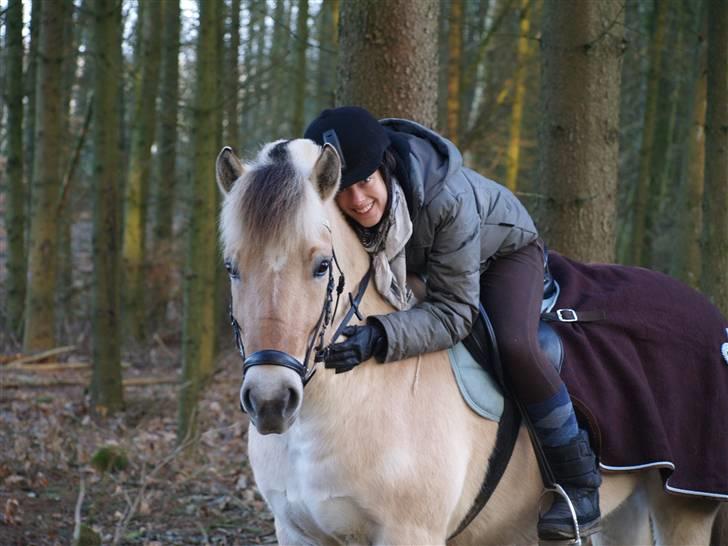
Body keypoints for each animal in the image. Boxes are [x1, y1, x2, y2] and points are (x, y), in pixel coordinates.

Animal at [216, 140, 728, 544]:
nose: (270, 400)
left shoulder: (409, 533)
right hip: (628, 506)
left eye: (322, 265)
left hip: (682, 506)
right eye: (232, 268)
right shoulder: (298, 533)